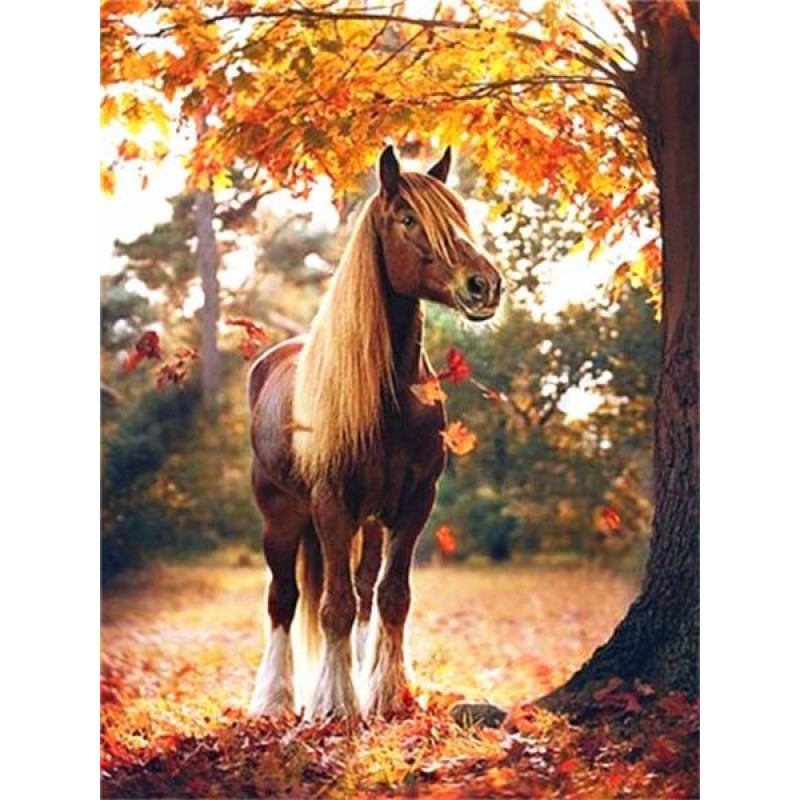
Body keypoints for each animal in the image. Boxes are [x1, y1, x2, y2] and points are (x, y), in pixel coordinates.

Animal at [247, 144, 503, 719]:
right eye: (407, 218)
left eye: (459, 215)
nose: (484, 285)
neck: (393, 398)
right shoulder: (331, 503)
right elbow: (333, 605)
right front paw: (335, 705)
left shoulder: (414, 503)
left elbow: (391, 597)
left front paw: (384, 693)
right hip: (282, 515)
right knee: (283, 599)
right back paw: (274, 700)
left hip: (366, 521)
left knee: (363, 592)